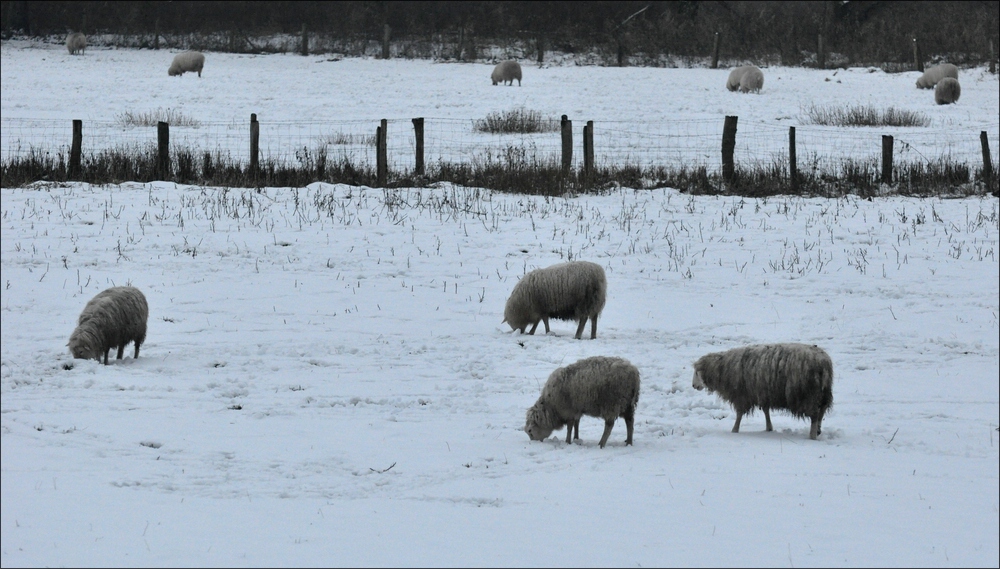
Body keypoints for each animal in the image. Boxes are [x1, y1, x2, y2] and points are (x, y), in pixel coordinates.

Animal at [692, 343, 833, 440]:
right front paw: (769, 427)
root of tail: (824, 363)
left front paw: (734, 430)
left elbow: (739, 414)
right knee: (821, 411)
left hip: (808, 395)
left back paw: (812, 436)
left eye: (697, 372)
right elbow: (766, 411)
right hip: (824, 393)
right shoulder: (762, 393)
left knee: (815, 415)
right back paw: (818, 430)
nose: (693, 385)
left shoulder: (742, 395)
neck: (723, 368)